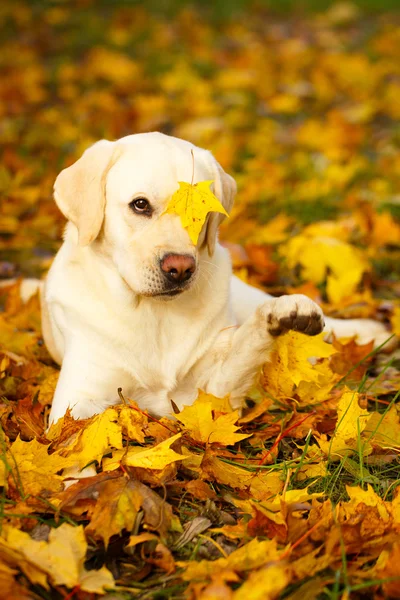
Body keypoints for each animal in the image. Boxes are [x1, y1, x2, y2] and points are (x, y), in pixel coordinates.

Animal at [42, 132, 392, 424]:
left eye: (202, 212)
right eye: (140, 205)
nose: (180, 268)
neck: (153, 314)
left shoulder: (210, 392)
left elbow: (246, 347)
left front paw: (281, 315)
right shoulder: (77, 401)